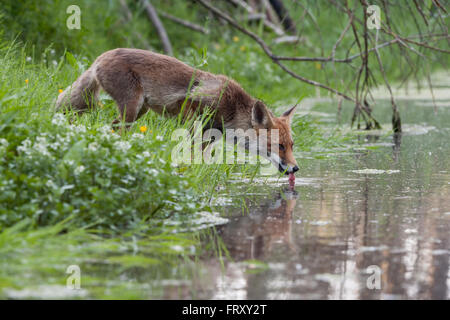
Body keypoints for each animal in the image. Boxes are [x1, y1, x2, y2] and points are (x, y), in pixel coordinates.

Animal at [56, 48, 298, 175]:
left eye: (292, 146)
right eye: (279, 146)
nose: (296, 169)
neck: (232, 108)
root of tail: (101, 56)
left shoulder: (211, 133)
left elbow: (201, 154)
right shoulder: (190, 107)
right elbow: (191, 149)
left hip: (138, 110)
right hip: (132, 108)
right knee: (115, 127)